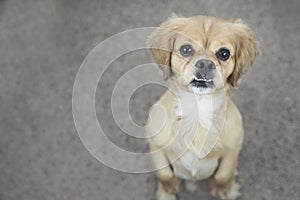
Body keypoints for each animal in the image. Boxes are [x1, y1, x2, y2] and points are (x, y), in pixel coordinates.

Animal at [146, 15, 258, 200]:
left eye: (224, 53)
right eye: (186, 50)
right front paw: (169, 190)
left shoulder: (233, 148)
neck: (197, 109)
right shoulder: (155, 145)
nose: (205, 64)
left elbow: (223, 175)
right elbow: (165, 175)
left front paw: (223, 191)